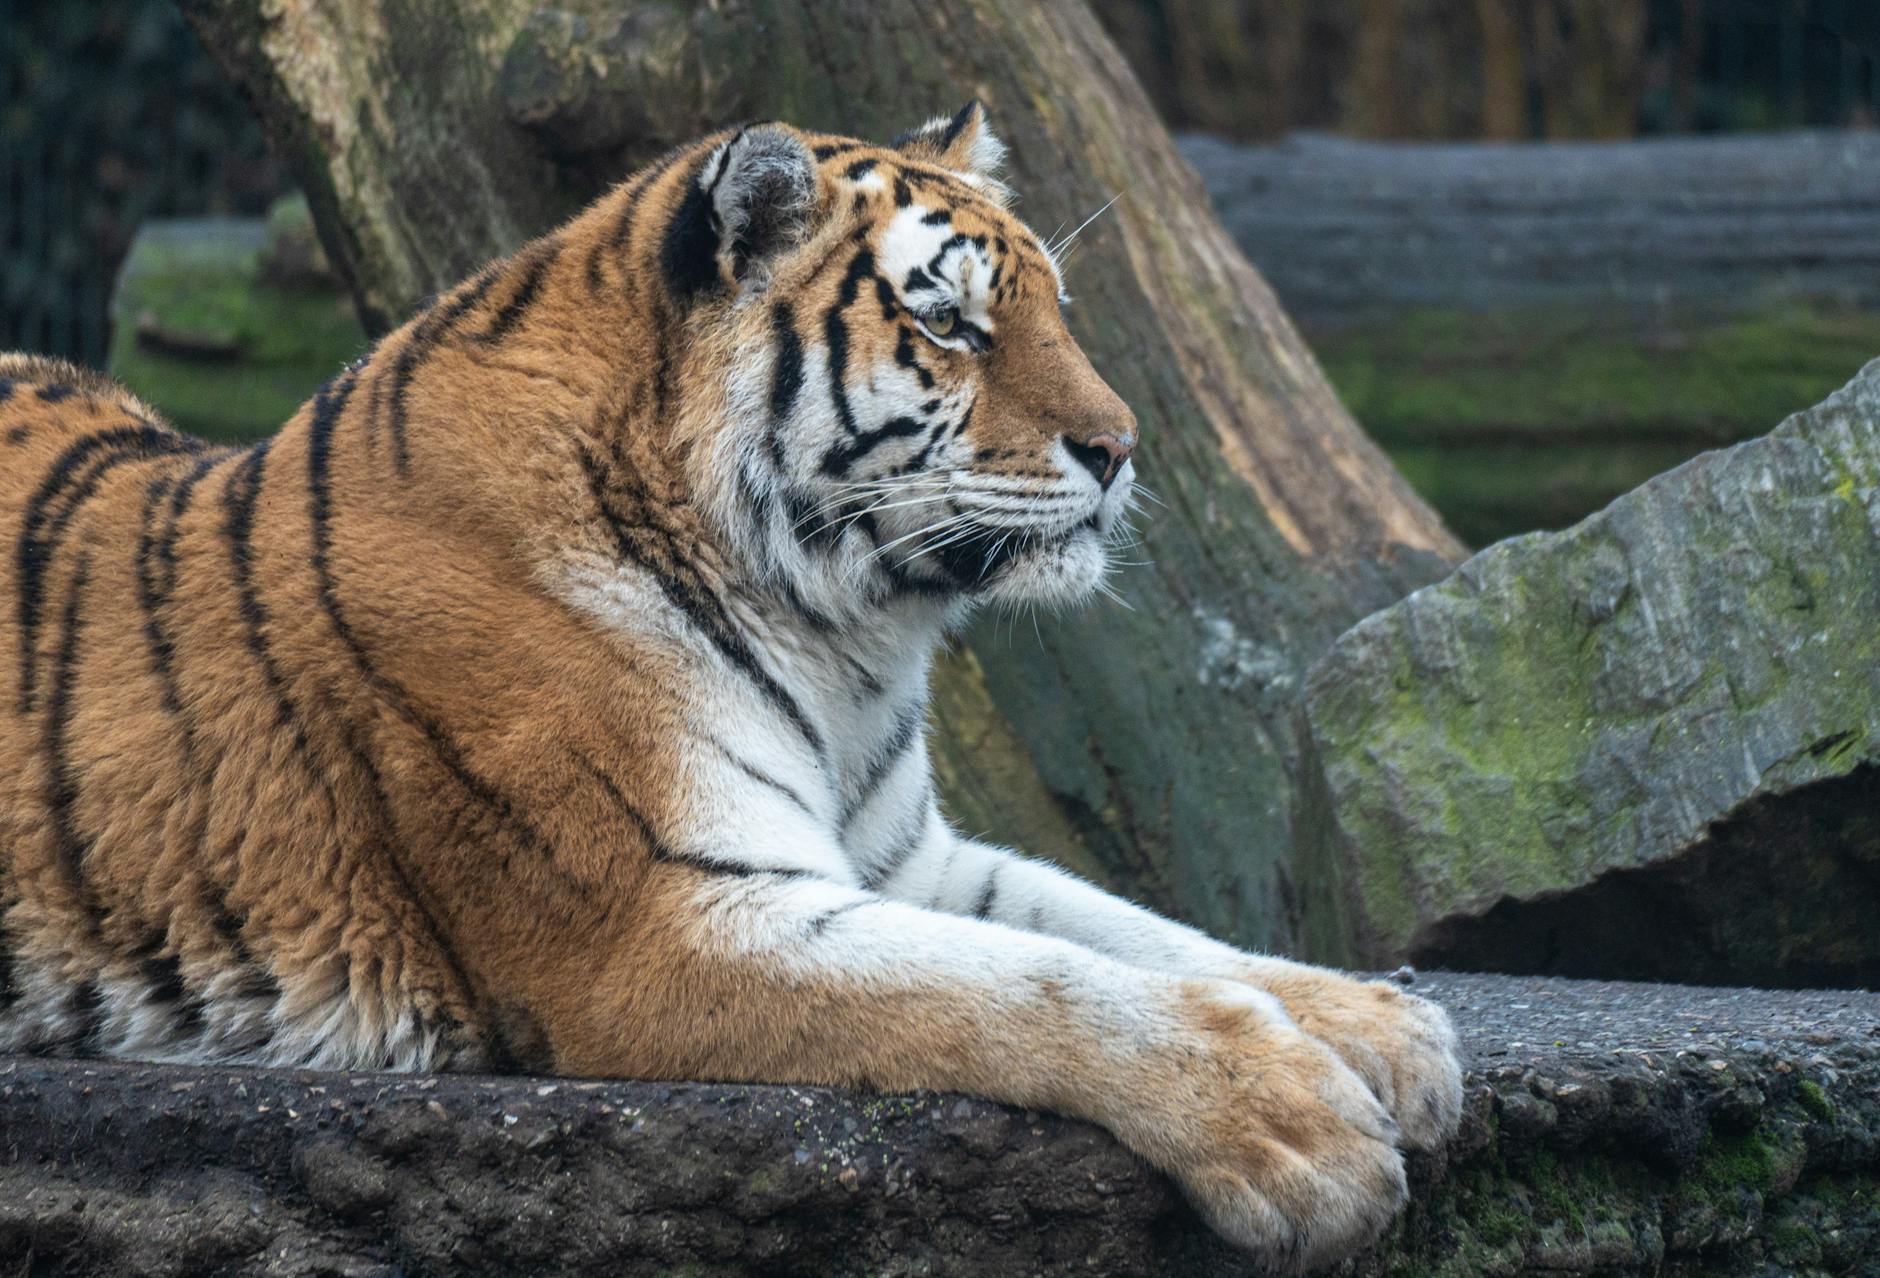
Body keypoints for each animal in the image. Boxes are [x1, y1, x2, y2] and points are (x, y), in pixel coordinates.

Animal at [0, 103, 1460, 1269]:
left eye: (1058, 308)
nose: (1120, 445)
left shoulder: (907, 859)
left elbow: (1136, 931)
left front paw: (1383, 1026)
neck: (846, 636)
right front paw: (1294, 1122)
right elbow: (1028, 986)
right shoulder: (669, 922)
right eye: (948, 320)